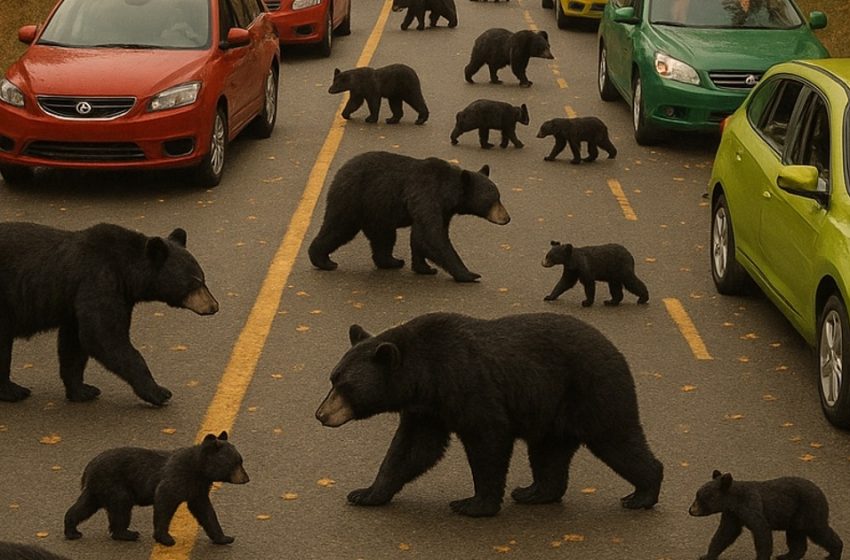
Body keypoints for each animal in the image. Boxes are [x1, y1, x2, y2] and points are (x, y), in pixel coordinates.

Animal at [0, 222, 218, 406]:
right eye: (194, 282)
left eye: (203, 278)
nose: (213, 306)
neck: (126, 271)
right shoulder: (99, 280)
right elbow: (103, 336)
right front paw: (159, 392)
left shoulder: (76, 300)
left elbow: (75, 343)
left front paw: (83, 390)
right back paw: (13, 392)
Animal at [64, 431, 249, 547]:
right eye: (236, 462)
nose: (246, 478)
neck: (198, 470)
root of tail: (89, 467)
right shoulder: (177, 476)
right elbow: (164, 500)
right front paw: (166, 538)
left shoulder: (198, 488)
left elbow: (205, 511)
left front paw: (225, 537)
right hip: (114, 484)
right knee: (121, 506)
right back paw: (127, 533)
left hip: (98, 488)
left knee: (84, 507)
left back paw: (72, 530)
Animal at [308, 151, 510, 283]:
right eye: (493, 199)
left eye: (499, 197)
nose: (507, 218)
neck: (447, 192)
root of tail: (339, 172)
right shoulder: (426, 194)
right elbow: (433, 236)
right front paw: (469, 274)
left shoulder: (442, 209)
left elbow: (422, 236)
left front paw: (425, 268)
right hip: (353, 198)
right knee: (339, 228)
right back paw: (323, 260)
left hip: (378, 211)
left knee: (384, 237)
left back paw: (392, 261)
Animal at [315, 312, 664, 517]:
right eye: (333, 378)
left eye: (345, 386)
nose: (321, 414)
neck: (426, 374)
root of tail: (616, 350)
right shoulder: (427, 409)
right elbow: (412, 449)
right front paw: (365, 493)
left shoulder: (469, 385)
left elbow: (488, 440)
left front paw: (472, 504)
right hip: (552, 412)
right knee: (549, 453)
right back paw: (533, 492)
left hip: (594, 390)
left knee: (617, 438)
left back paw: (642, 493)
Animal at [689, 471, 843, 560]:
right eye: (697, 496)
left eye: (701, 498)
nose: (691, 510)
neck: (735, 501)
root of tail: (822, 493)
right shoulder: (732, 514)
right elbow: (725, 533)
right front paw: (707, 556)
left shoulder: (751, 506)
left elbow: (761, 531)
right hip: (794, 518)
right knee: (796, 538)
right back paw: (786, 556)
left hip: (810, 510)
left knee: (819, 531)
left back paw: (833, 554)